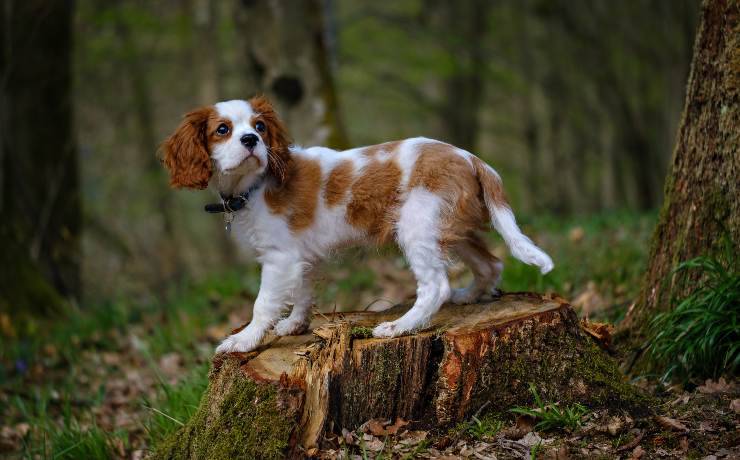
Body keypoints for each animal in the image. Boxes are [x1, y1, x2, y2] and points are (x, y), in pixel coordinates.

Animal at [163, 95, 556, 350]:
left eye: (259, 127)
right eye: (222, 130)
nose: (251, 140)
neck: (254, 184)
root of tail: (470, 158)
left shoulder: (279, 257)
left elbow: (263, 304)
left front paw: (244, 340)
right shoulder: (300, 255)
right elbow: (303, 292)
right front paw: (295, 325)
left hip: (417, 228)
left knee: (436, 286)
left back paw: (401, 326)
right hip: (447, 227)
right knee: (491, 264)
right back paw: (469, 296)